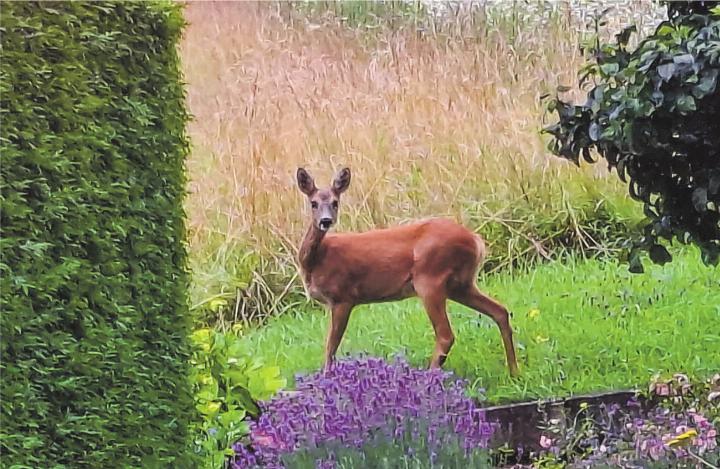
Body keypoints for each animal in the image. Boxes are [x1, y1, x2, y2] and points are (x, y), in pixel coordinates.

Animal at [296, 166, 520, 374]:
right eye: (313, 203)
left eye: (335, 202)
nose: (325, 221)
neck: (317, 260)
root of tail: (476, 240)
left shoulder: (342, 297)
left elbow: (330, 349)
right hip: (461, 285)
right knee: (500, 311)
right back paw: (514, 372)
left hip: (430, 279)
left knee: (446, 334)